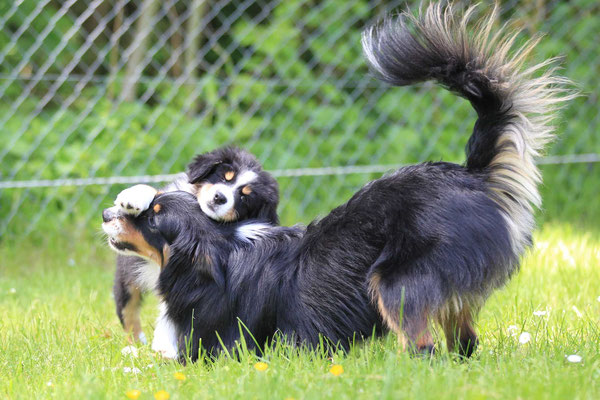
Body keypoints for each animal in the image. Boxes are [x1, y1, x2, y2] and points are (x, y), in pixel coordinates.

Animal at [110, 146, 278, 356]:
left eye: (244, 198)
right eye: (225, 177)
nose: (219, 197)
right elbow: (160, 194)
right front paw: (134, 195)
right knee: (128, 309)